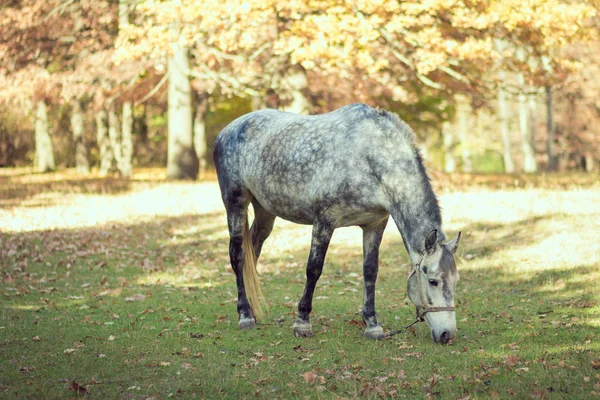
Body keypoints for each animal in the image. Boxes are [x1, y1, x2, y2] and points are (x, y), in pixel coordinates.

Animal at [213, 103, 462, 344]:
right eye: (433, 281)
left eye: (455, 280)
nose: (447, 335)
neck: (370, 157)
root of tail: (227, 131)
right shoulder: (324, 221)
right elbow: (313, 269)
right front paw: (302, 323)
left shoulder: (375, 224)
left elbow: (370, 271)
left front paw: (372, 324)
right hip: (235, 204)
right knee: (238, 256)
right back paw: (245, 315)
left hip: (265, 212)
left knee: (253, 251)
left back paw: (253, 311)